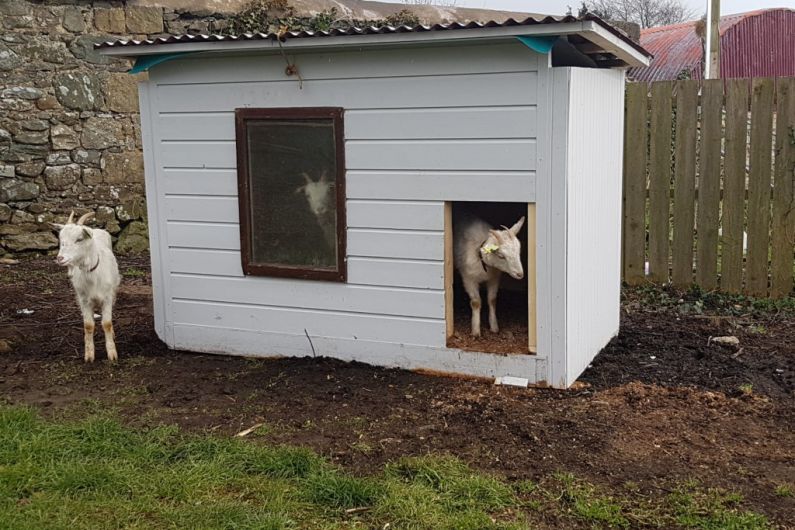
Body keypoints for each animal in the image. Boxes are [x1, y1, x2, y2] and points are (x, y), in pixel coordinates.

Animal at [51, 211, 121, 364]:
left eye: (79, 239)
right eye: (61, 239)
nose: (60, 258)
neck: (92, 275)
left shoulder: (107, 297)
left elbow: (107, 323)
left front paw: (112, 353)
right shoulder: (84, 300)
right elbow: (88, 325)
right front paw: (89, 355)